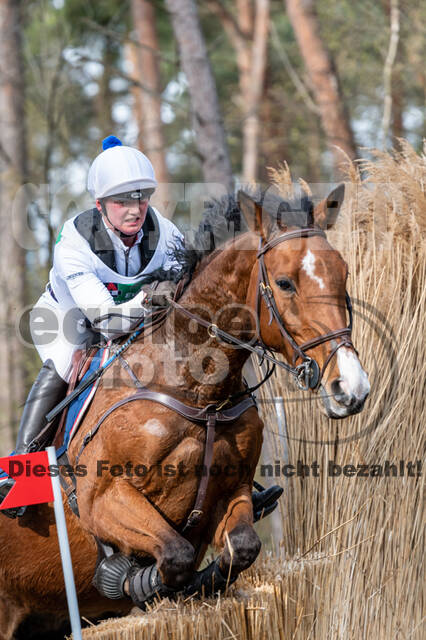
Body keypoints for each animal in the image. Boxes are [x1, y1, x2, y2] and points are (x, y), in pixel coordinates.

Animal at [0, 182, 370, 636]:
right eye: (284, 283)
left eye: (343, 274)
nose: (350, 387)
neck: (198, 389)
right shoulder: (103, 499)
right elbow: (172, 554)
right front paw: (132, 578)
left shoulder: (232, 490)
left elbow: (240, 547)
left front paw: (193, 583)